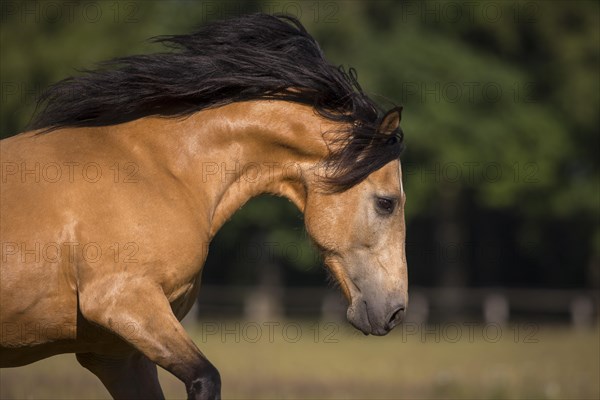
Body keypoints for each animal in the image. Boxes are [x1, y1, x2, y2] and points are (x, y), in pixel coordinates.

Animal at [1, 13, 408, 400]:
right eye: (386, 203)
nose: (396, 312)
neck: (163, 169)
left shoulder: (115, 354)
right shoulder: (123, 302)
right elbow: (206, 379)